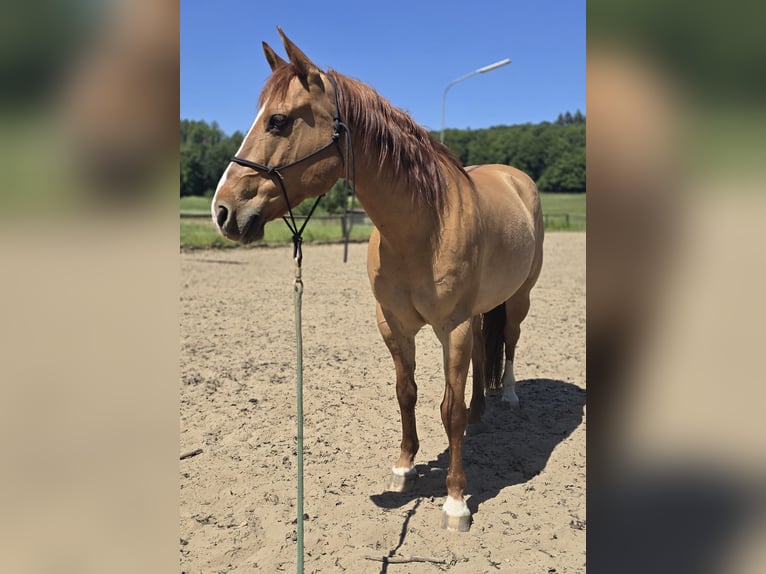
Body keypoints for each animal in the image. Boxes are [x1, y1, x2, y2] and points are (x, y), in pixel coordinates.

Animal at [212, 28, 544, 532]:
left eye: (278, 121)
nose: (223, 211)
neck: (425, 225)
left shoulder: (453, 328)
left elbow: (449, 410)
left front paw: (456, 501)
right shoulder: (392, 325)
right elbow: (406, 394)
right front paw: (405, 467)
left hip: (519, 297)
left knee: (507, 340)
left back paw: (506, 396)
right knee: (484, 353)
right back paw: (482, 412)